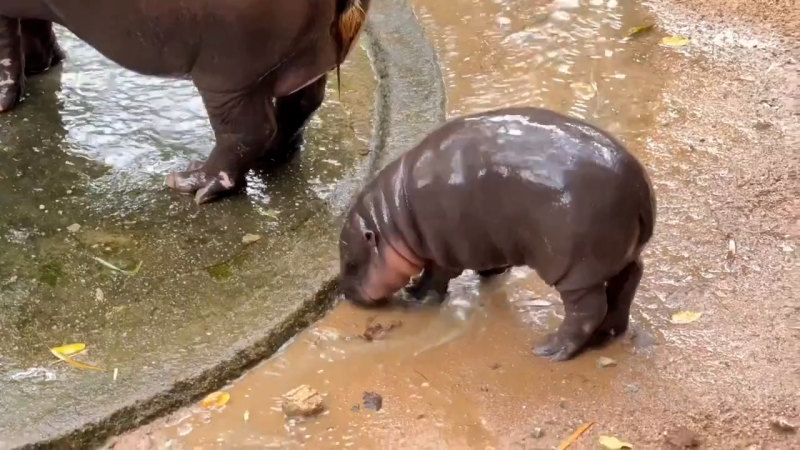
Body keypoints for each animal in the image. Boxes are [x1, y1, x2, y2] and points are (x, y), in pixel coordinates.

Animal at [0, 0, 368, 203]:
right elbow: (32, 27)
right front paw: (41, 65)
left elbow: (6, 43)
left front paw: (4, 102)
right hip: (306, 59)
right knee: (302, 105)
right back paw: (271, 159)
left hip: (226, 76)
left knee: (248, 132)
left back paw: (190, 184)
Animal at [338, 106, 656, 362]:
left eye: (351, 264)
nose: (347, 294)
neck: (393, 216)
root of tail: (638, 187)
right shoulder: (485, 239)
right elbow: (490, 263)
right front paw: (492, 273)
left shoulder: (443, 250)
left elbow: (435, 276)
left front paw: (415, 294)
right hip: (619, 255)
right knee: (628, 281)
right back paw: (608, 334)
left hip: (576, 271)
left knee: (588, 311)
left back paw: (549, 350)